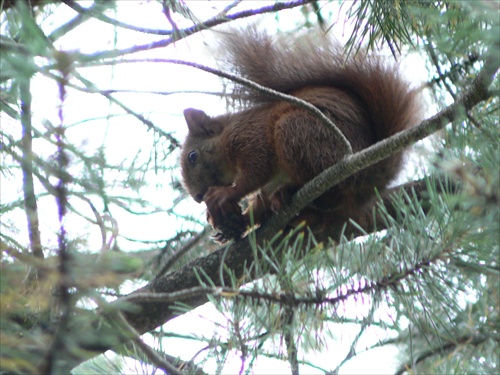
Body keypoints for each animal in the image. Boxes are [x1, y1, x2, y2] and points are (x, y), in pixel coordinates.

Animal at [180, 27, 422, 242]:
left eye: (192, 156)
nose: (198, 197)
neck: (227, 135)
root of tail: (369, 179)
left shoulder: (251, 137)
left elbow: (255, 172)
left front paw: (225, 195)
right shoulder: (263, 183)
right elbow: (260, 206)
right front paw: (235, 223)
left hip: (297, 131)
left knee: (330, 191)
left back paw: (289, 191)